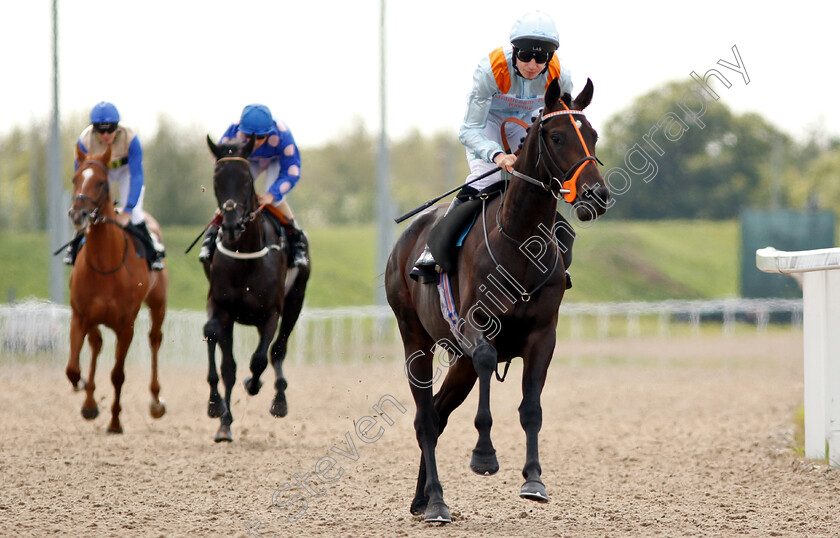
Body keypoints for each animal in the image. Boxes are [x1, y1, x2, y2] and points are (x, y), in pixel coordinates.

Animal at [64, 144, 169, 434]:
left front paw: (115, 421)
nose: (78, 214)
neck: (105, 264)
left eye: (101, 182)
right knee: (96, 344)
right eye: (75, 178)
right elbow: (72, 369)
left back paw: (156, 402)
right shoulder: (80, 315)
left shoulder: (126, 325)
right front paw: (86, 395)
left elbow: (118, 375)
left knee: (155, 339)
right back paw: (89, 400)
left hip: (159, 303)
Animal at [203, 134, 312, 440]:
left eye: (246, 180)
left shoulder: (270, 313)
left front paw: (254, 384)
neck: (246, 256)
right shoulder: (220, 306)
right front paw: (218, 410)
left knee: (277, 350)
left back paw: (279, 400)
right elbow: (221, 354)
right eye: (216, 180)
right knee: (227, 360)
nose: (230, 226)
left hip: (296, 300)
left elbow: (260, 359)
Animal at [386, 77, 612, 520]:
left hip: (459, 363)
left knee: (437, 413)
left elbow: (531, 408)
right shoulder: (475, 327)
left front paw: (534, 479)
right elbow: (489, 360)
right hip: (415, 339)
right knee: (425, 417)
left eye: (593, 134)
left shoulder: (542, 336)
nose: (597, 195)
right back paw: (436, 500)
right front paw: (484, 456)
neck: (520, 244)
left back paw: (423, 498)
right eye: (557, 137)